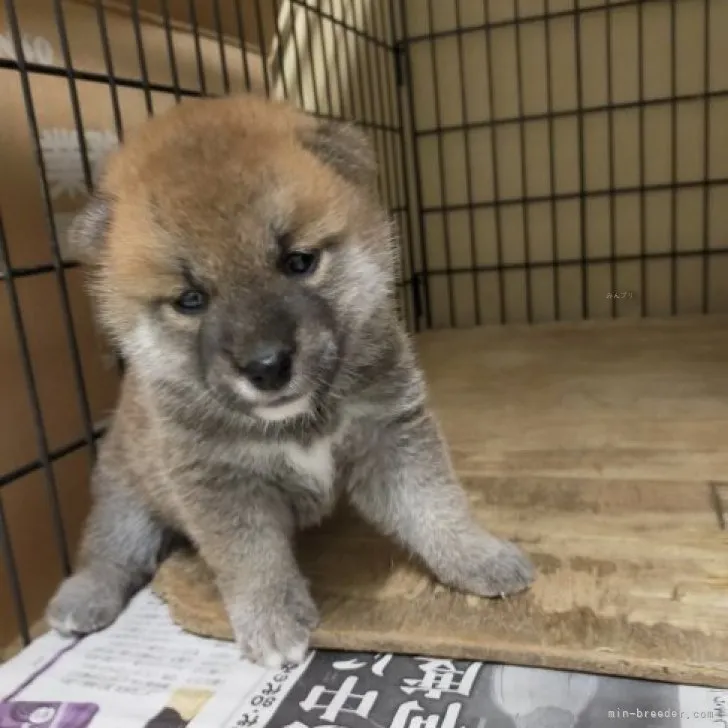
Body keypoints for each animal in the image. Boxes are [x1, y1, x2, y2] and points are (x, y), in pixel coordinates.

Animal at [45, 94, 536, 668]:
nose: (265, 366)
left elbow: (435, 505)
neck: (301, 419)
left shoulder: (390, 435)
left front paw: (477, 556)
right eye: (190, 300)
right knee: (109, 552)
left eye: (299, 262)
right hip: (126, 499)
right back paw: (81, 598)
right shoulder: (221, 484)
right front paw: (273, 625)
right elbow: (253, 562)